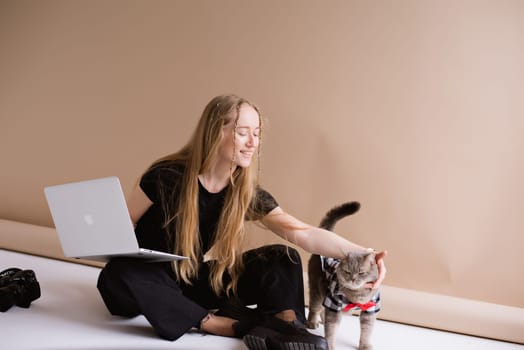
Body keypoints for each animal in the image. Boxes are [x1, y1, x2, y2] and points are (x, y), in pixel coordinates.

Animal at [308, 202, 380, 350]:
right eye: (347, 271)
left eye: (361, 272)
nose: (352, 279)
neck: (357, 295)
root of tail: (327, 233)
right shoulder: (334, 305)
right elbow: (331, 331)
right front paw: (329, 346)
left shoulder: (370, 309)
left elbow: (367, 331)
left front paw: (365, 345)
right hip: (316, 289)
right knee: (314, 307)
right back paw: (312, 322)